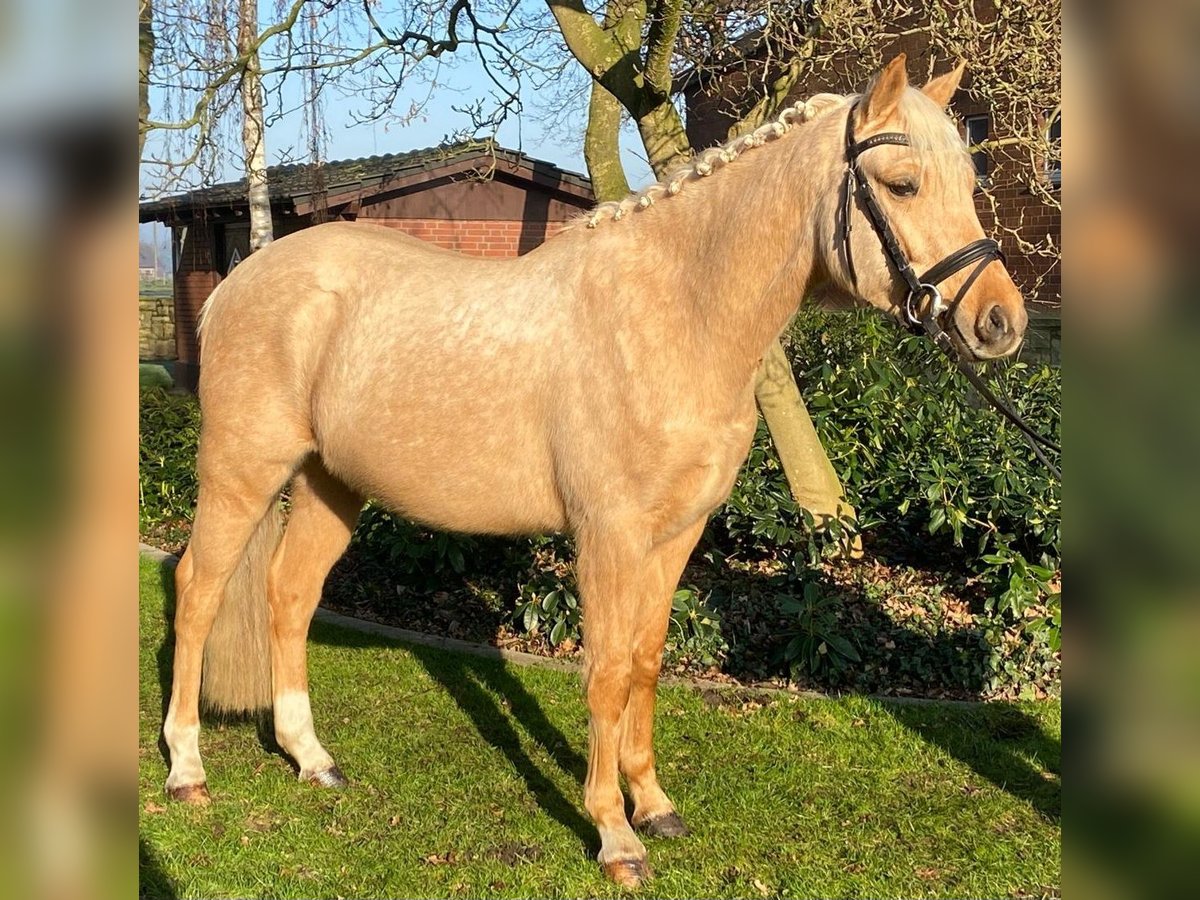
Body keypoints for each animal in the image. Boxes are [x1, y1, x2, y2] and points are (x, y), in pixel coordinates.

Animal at [162, 56, 1022, 888]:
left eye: (970, 180)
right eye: (902, 184)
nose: (999, 323)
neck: (675, 313)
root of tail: (238, 281)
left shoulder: (677, 534)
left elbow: (644, 661)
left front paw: (655, 805)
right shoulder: (608, 535)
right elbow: (605, 674)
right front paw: (615, 835)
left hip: (329, 484)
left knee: (289, 594)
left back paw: (311, 758)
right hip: (242, 472)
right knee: (199, 590)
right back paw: (187, 770)